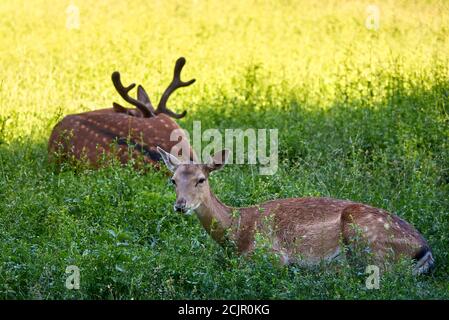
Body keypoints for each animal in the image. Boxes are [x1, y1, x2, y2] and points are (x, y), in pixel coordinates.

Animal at [157, 148, 434, 276]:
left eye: (201, 179)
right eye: (173, 180)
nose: (180, 205)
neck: (237, 231)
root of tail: (425, 250)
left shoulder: (271, 254)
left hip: (366, 236)